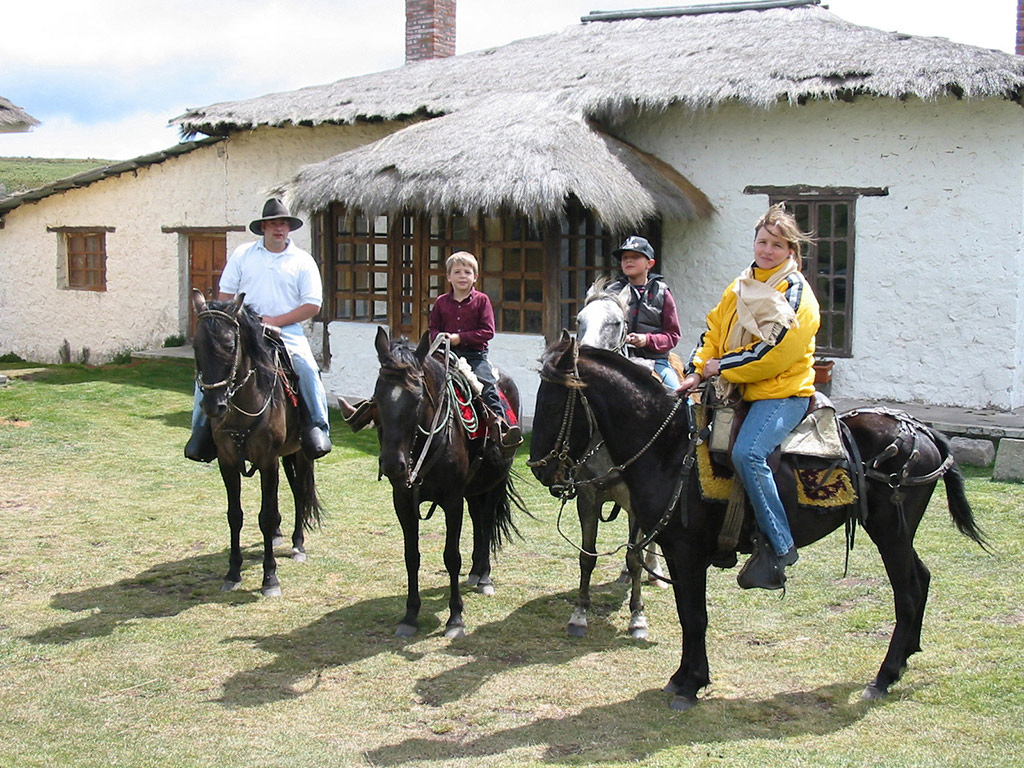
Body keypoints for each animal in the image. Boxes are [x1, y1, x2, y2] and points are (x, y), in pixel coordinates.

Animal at [191, 290, 323, 597]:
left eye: (230, 345)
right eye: (196, 345)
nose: (213, 406)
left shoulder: (267, 460)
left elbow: (265, 515)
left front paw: (270, 578)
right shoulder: (227, 461)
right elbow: (235, 515)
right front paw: (233, 572)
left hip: (299, 454)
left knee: (300, 493)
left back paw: (297, 544)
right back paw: (277, 537)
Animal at [372, 327, 524, 639]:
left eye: (417, 396)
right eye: (378, 395)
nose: (393, 465)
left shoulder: (452, 501)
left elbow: (451, 557)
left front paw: (455, 619)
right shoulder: (403, 501)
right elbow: (411, 556)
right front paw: (410, 615)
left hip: (495, 482)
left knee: (486, 520)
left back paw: (485, 577)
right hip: (475, 487)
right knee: (478, 520)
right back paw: (476, 572)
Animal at [530, 336, 988, 710]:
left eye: (552, 402)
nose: (540, 469)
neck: (670, 451)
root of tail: (921, 431)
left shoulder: (688, 552)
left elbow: (694, 615)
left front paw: (690, 684)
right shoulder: (675, 552)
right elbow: (686, 614)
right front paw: (684, 677)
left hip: (891, 532)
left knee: (907, 591)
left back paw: (884, 676)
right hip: (898, 533)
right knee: (922, 578)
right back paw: (907, 656)